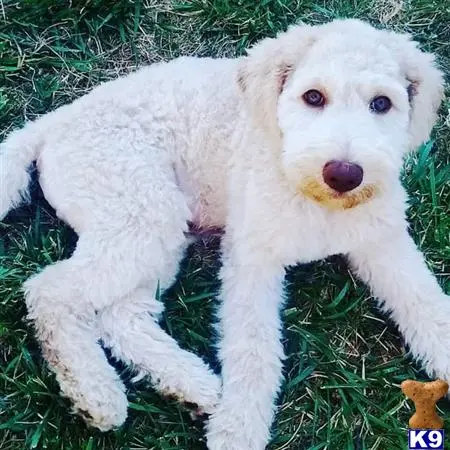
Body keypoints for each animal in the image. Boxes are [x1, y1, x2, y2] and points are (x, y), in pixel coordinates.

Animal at [1, 18, 448, 450]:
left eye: (382, 104)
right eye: (313, 97)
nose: (344, 174)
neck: (313, 197)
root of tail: (53, 121)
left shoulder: (385, 241)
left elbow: (426, 305)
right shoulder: (252, 260)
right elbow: (252, 349)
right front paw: (239, 428)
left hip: (156, 231)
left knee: (120, 315)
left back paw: (190, 384)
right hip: (141, 212)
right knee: (51, 292)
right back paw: (95, 394)